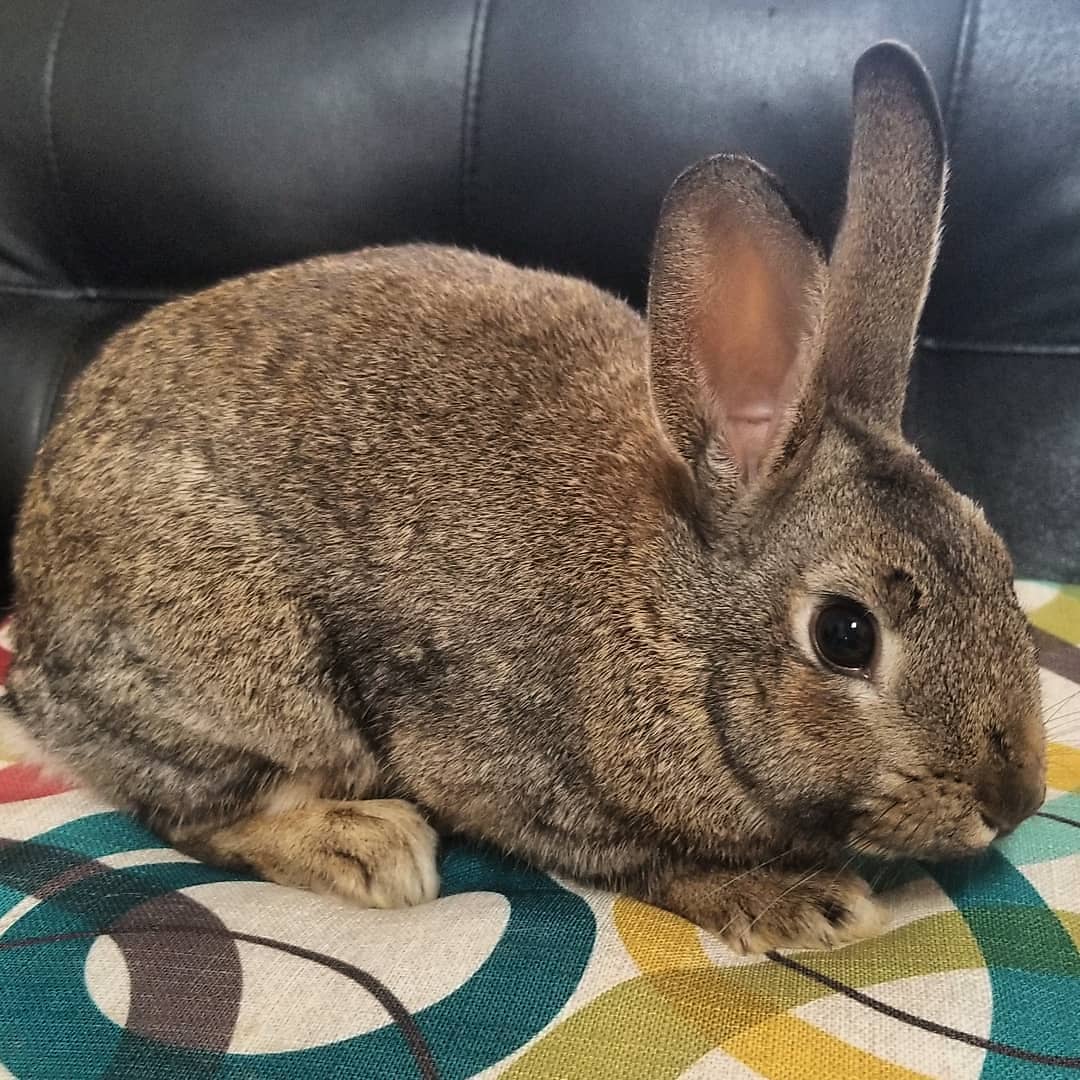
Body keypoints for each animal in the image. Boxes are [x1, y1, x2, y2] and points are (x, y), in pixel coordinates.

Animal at [3, 41, 1046, 955]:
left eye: (998, 558)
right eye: (845, 634)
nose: (1018, 800)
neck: (671, 615)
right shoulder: (493, 770)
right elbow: (648, 862)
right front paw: (801, 903)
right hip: (246, 670)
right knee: (190, 807)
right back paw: (367, 846)